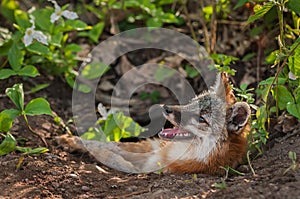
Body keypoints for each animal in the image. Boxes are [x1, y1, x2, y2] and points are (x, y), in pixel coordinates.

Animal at [56, 72, 251, 174]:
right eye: (192, 103)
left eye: (202, 118)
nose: (166, 108)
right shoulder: (153, 146)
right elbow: (108, 144)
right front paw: (72, 140)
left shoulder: (156, 164)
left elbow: (111, 156)